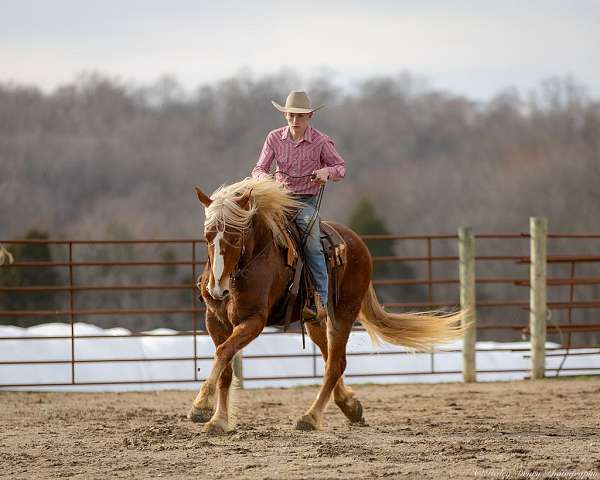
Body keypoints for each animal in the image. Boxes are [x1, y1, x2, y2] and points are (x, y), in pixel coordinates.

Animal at [188, 177, 464, 436]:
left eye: (236, 236)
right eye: (207, 237)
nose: (217, 289)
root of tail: (359, 244)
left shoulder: (254, 321)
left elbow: (224, 352)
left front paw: (201, 407)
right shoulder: (214, 320)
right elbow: (225, 364)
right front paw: (218, 420)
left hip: (343, 314)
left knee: (334, 365)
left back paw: (310, 417)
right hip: (315, 321)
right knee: (331, 358)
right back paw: (351, 406)